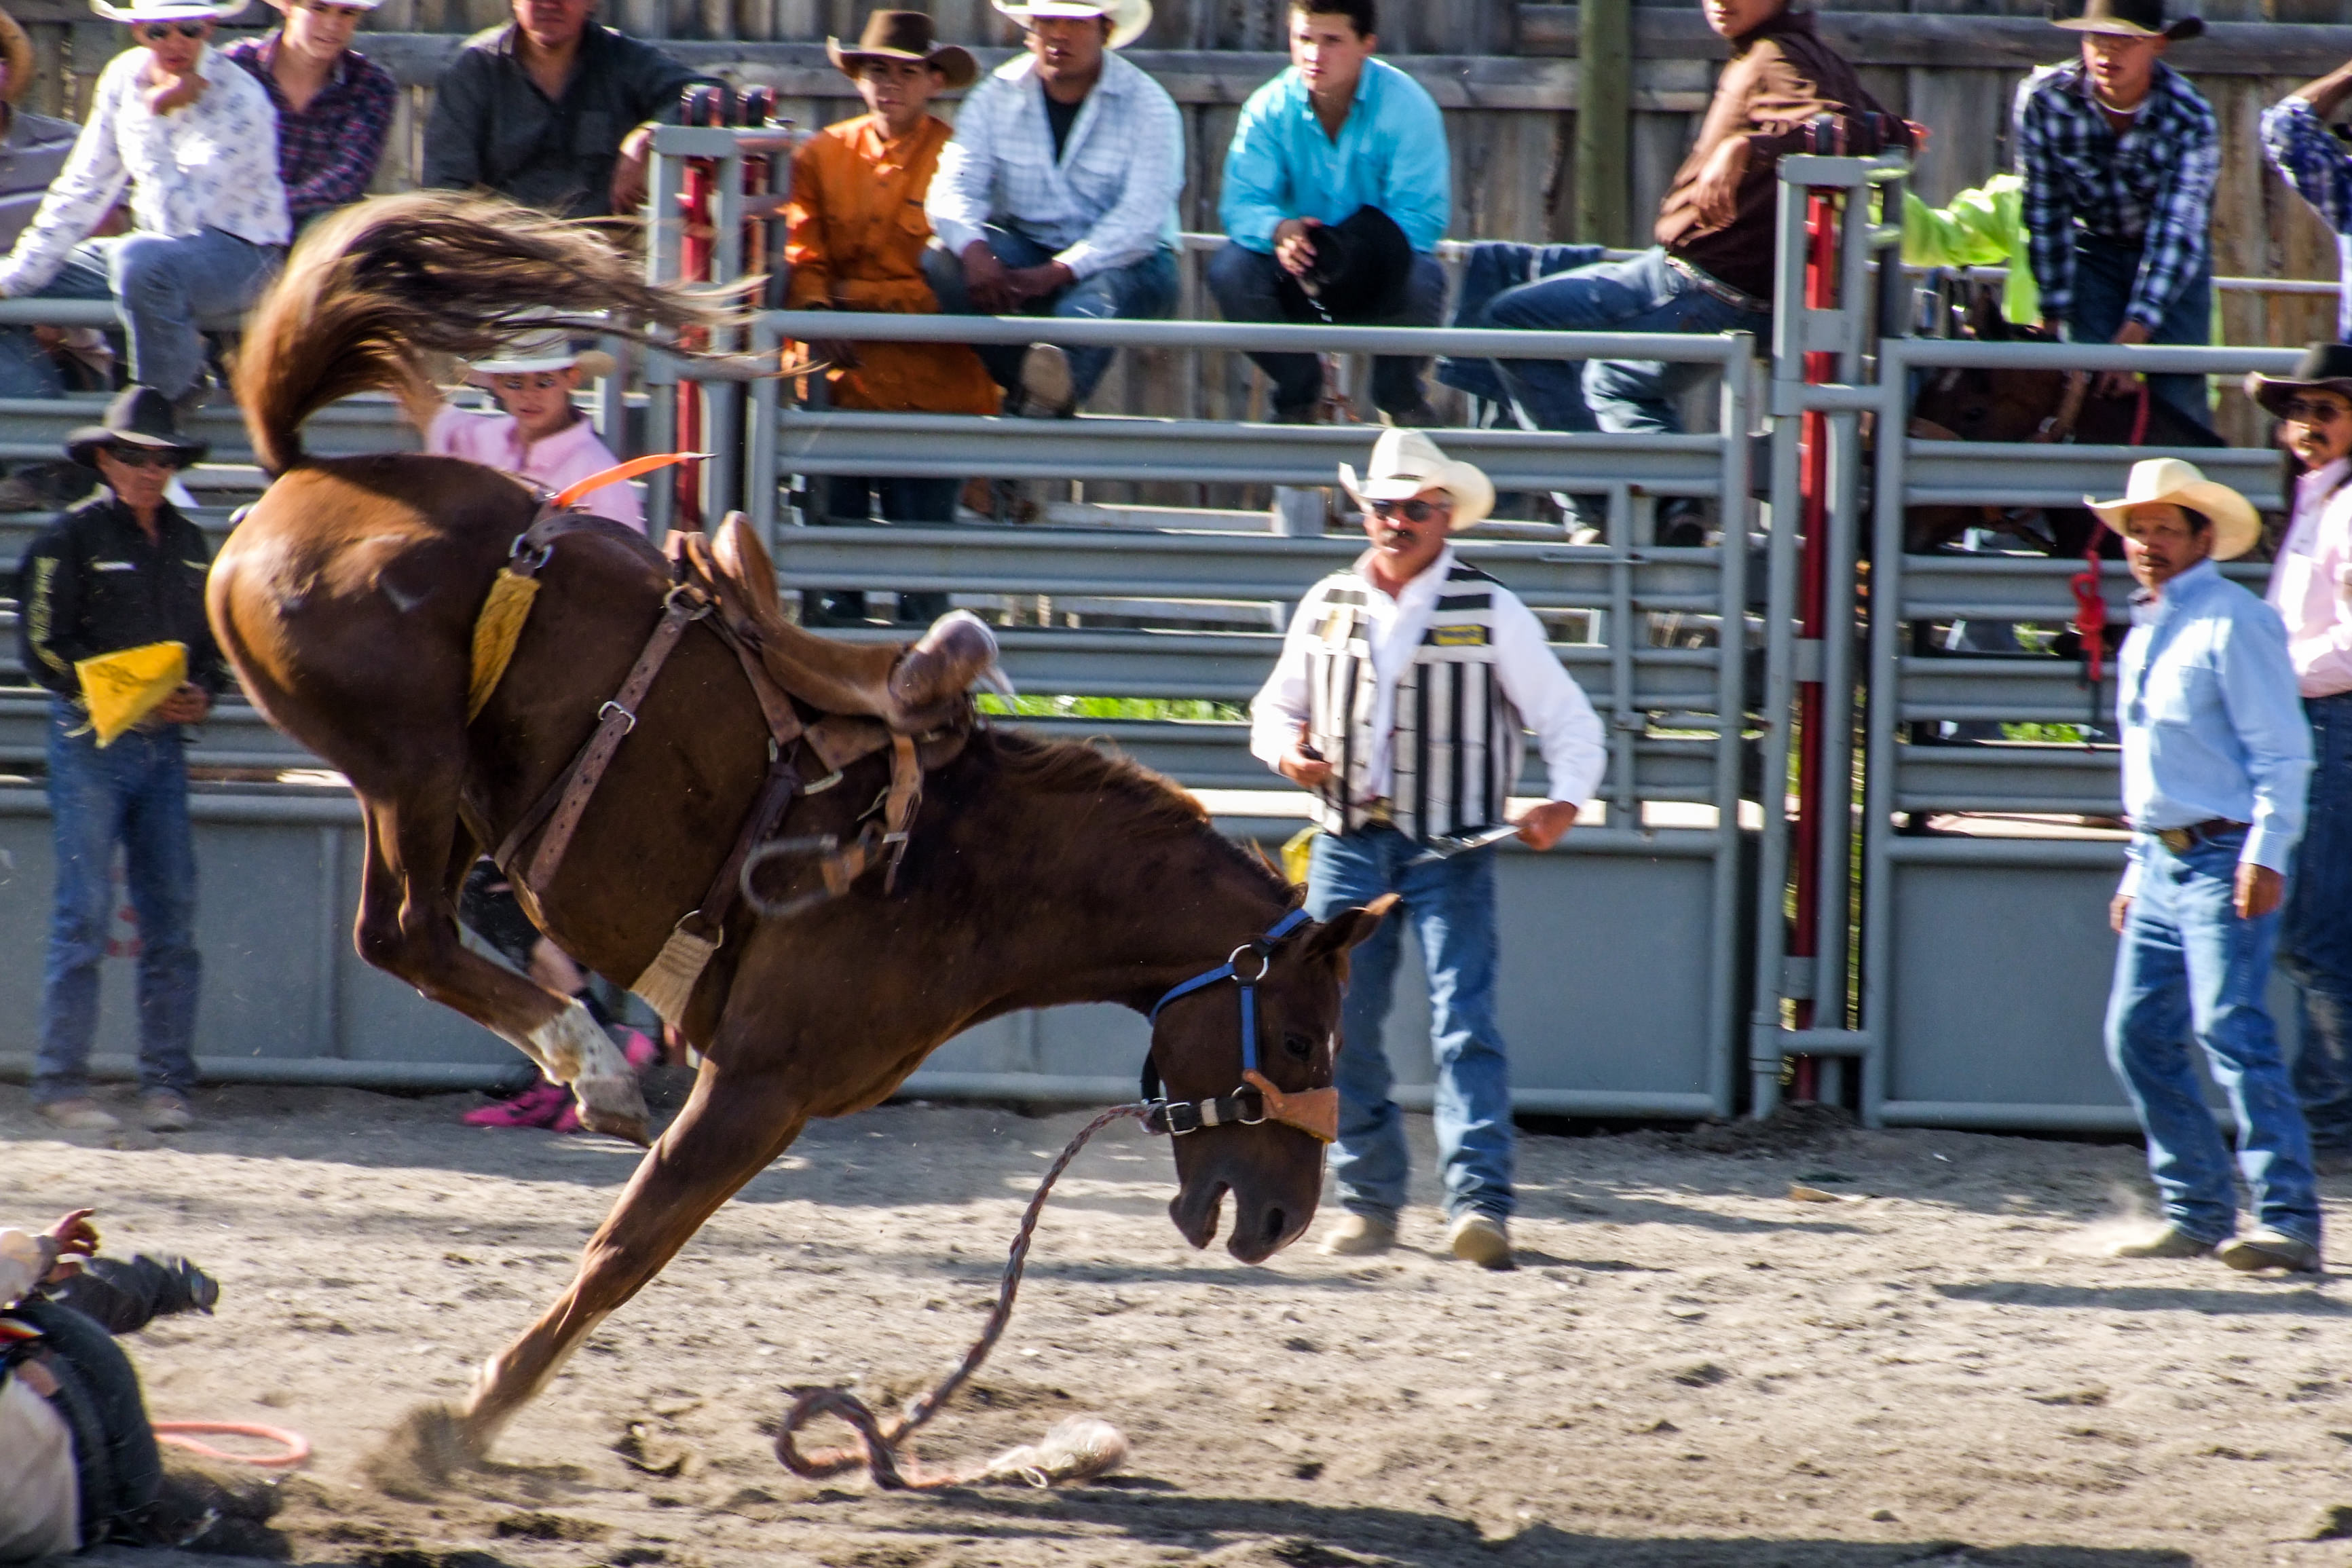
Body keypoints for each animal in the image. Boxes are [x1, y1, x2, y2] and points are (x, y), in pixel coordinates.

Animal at [206, 191, 1390, 1465]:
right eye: (1305, 1042)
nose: (1284, 1217)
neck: (977, 867)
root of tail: (304, 474)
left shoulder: (773, 1096)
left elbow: (639, 1246)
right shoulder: (759, 1084)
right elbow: (628, 1249)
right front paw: (463, 1420)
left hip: (451, 795)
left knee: (412, 932)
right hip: (412, 771)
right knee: (405, 934)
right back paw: (592, 1066)